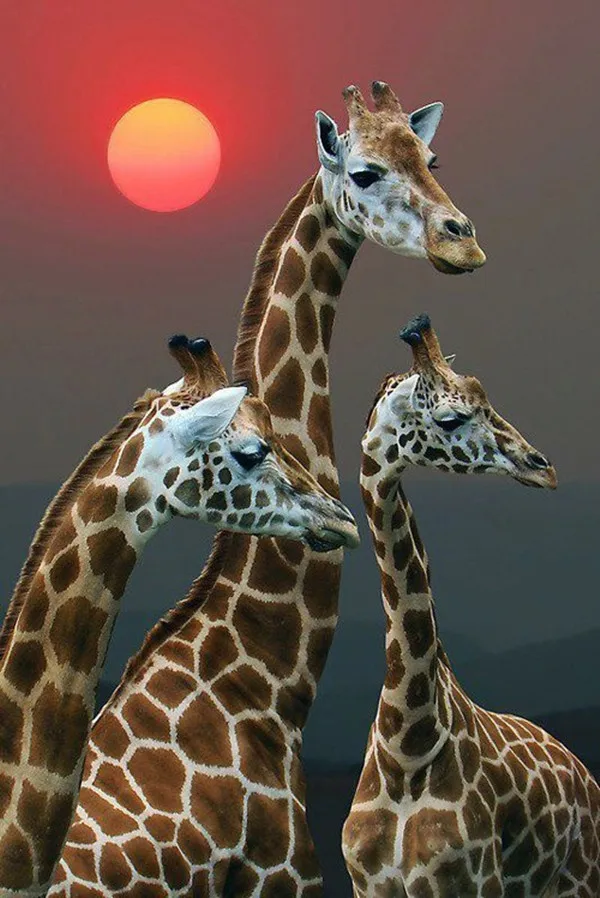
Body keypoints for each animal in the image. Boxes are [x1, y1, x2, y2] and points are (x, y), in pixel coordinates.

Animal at [342, 314, 600, 897]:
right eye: (451, 416)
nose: (542, 467)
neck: (407, 741)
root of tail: (585, 775)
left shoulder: (473, 880)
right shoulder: (368, 884)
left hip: (582, 878)